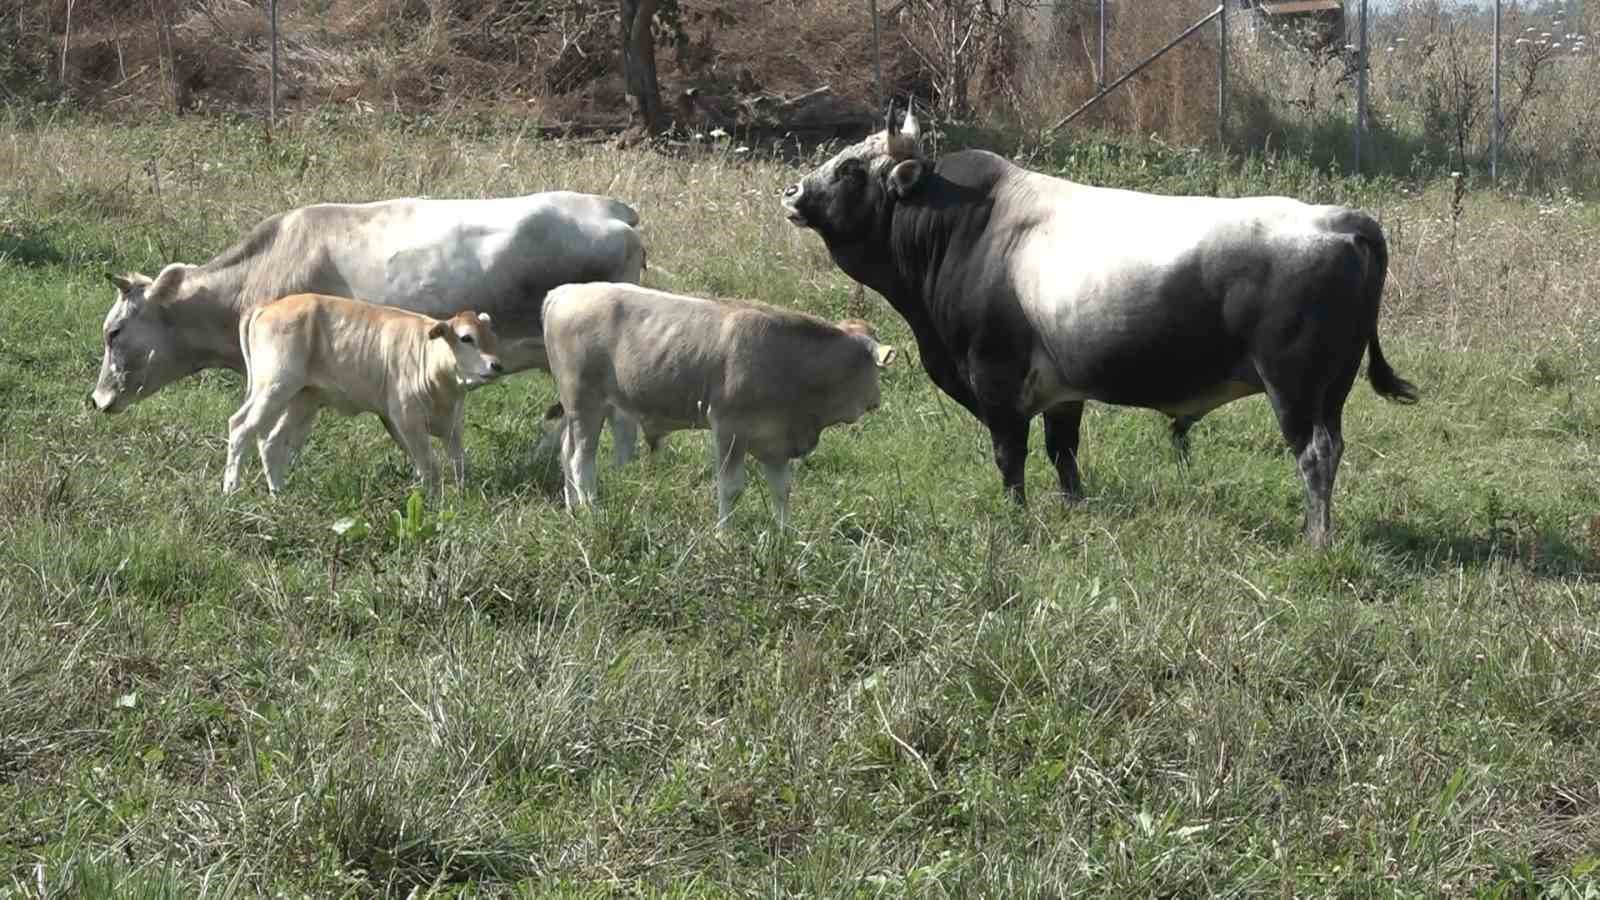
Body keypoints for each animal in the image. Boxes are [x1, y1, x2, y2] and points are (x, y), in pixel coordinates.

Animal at [222, 293, 502, 490]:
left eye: (492, 337)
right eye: (466, 338)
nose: (496, 365)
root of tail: (268, 306)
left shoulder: (454, 423)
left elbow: (459, 463)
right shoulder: (406, 417)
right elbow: (429, 465)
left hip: (303, 398)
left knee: (272, 441)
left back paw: (278, 492)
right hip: (274, 385)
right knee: (240, 427)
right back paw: (231, 489)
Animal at [544, 281, 902, 525]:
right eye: (875, 369)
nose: (876, 400)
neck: (788, 359)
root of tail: (565, 291)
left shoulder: (775, 438)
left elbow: (782, 489)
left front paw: (785, 536)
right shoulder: (729, 428)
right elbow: (730, 488)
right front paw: (724, 535)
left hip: (587, 409)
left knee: (565, 450)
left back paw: (573, 509)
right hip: (585, 404)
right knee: (580, 460)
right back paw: (591, 512)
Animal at [780, 112, 1420, 547]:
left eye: (851, 167)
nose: (792, 192)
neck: (966, 228)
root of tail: (1340, 219)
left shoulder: (995, 378)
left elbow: (1010, 456)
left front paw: (1017, 516)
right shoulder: (1063, 389)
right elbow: (1063, 453)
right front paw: (1073, 508)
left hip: (1294, 387)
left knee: (1314, 454)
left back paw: (1316, 538)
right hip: (1332, 389)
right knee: (1333, 447)